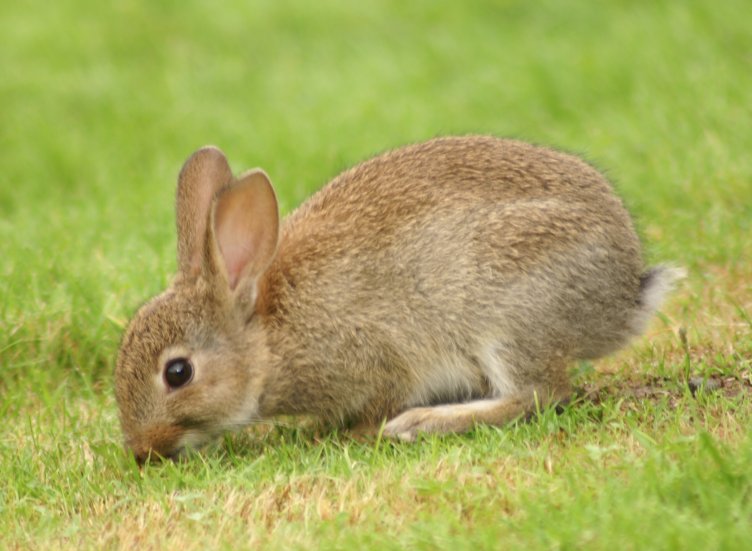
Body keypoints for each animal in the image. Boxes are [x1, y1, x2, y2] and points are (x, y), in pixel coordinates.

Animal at [115, 135, 683, 464]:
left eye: (178, 373)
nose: (143, 452)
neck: (267, 340)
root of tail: (622, 295)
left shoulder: (374, 359)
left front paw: (348, 435)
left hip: (505, 311)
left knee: (539, 394)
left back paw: (422, 424)